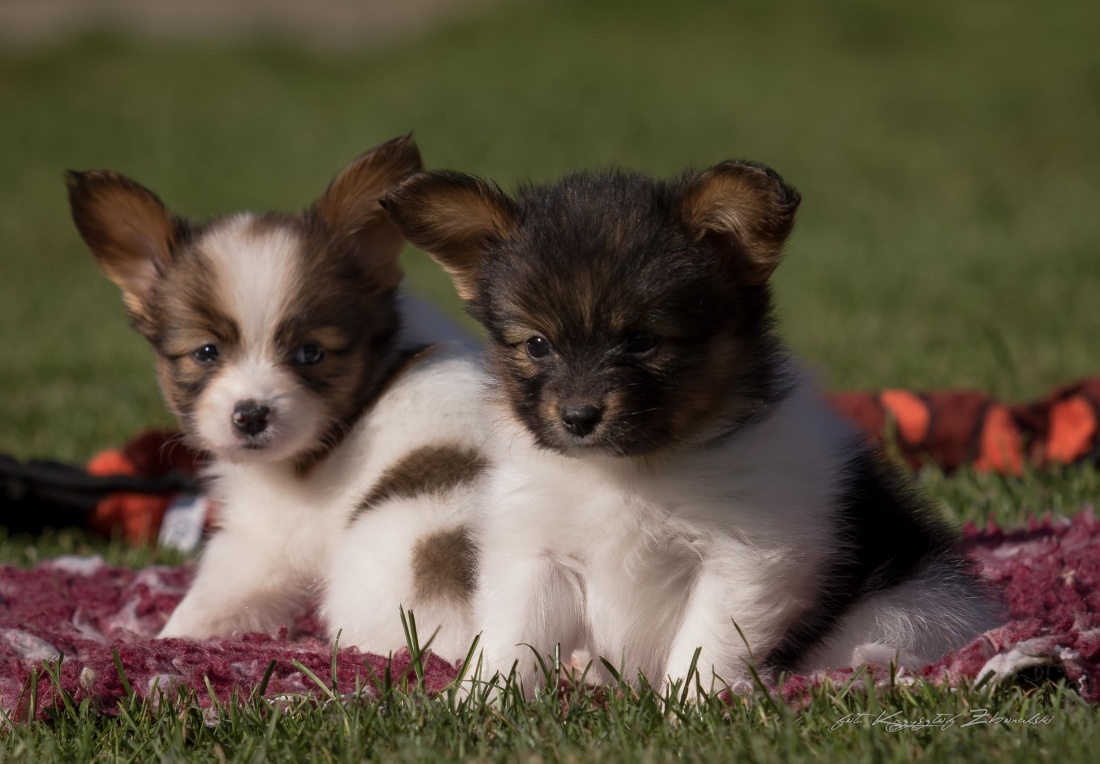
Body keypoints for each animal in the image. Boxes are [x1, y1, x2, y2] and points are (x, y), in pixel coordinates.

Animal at [66, 137, 484, 659]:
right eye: (206, 352)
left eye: (310, 353)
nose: (251, 416)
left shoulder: (262, 544)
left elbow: (206, 604)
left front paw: (157, 644)